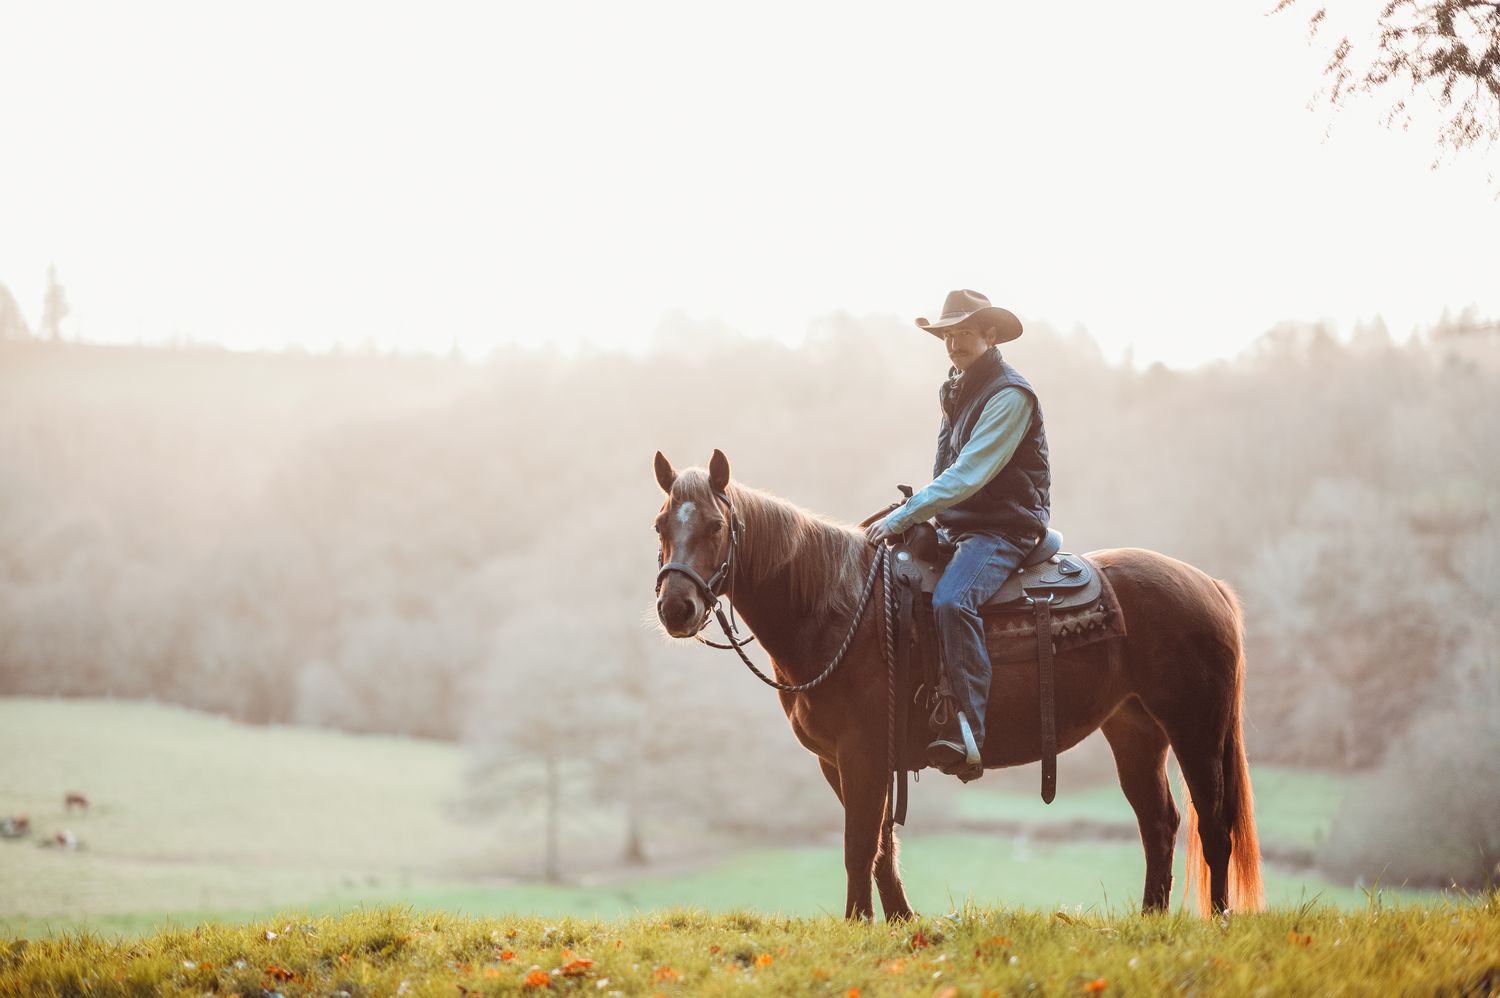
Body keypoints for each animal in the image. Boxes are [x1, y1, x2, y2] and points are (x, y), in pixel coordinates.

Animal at [657, 450, 1266, 918]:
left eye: (715, 526)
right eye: (661, 525)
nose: (675, 607)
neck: (839, 605)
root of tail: (1207, 585)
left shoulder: (862, 754)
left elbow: (859, 846)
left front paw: (859, 925)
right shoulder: (841, 760)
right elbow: (880, 849)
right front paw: (901, 924)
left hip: (1196, 727)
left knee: (1214, 824)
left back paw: (1217, 921)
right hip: (1135, 730)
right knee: (1158, 822)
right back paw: (1149, 921)